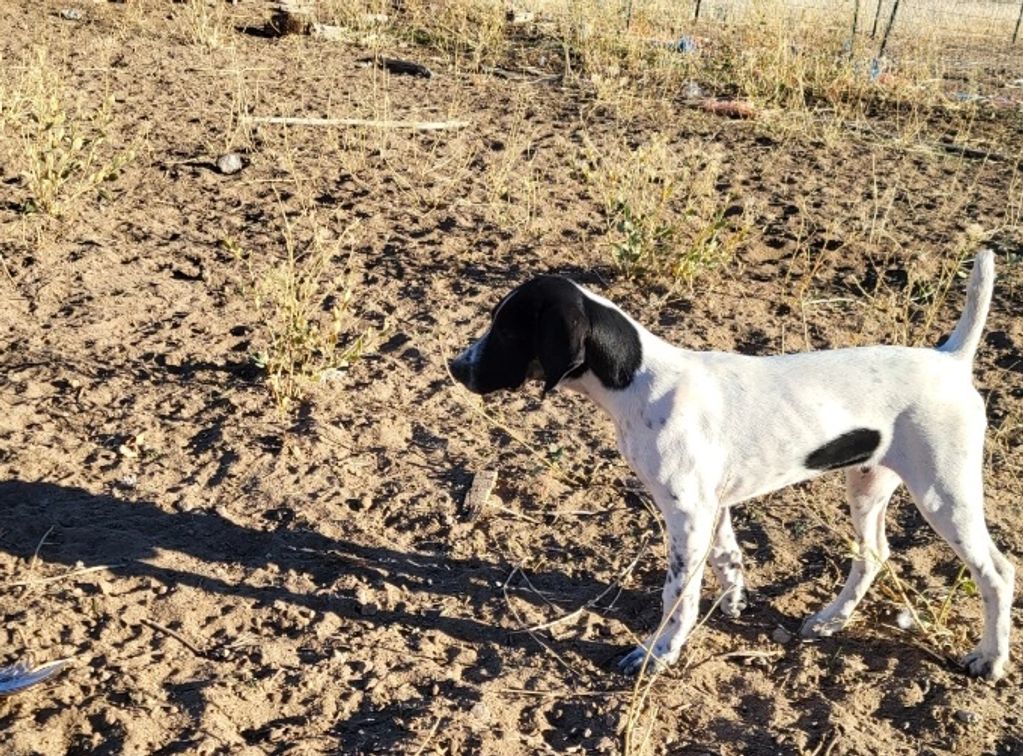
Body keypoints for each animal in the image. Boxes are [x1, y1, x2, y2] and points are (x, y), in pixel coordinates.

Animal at [450, 250, 1014, 680]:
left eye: (506, 332)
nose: (455, 367)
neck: (640, 380)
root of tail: (950, 360)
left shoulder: (687, 515)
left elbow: (678, 594)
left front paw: (658, 653)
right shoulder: (710, 507)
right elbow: (727, 558)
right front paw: (735, 601)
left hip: (944, 493)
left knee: (997, 571)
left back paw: (990, 659)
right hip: (868, 483)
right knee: (873, 554)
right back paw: (831, 620)